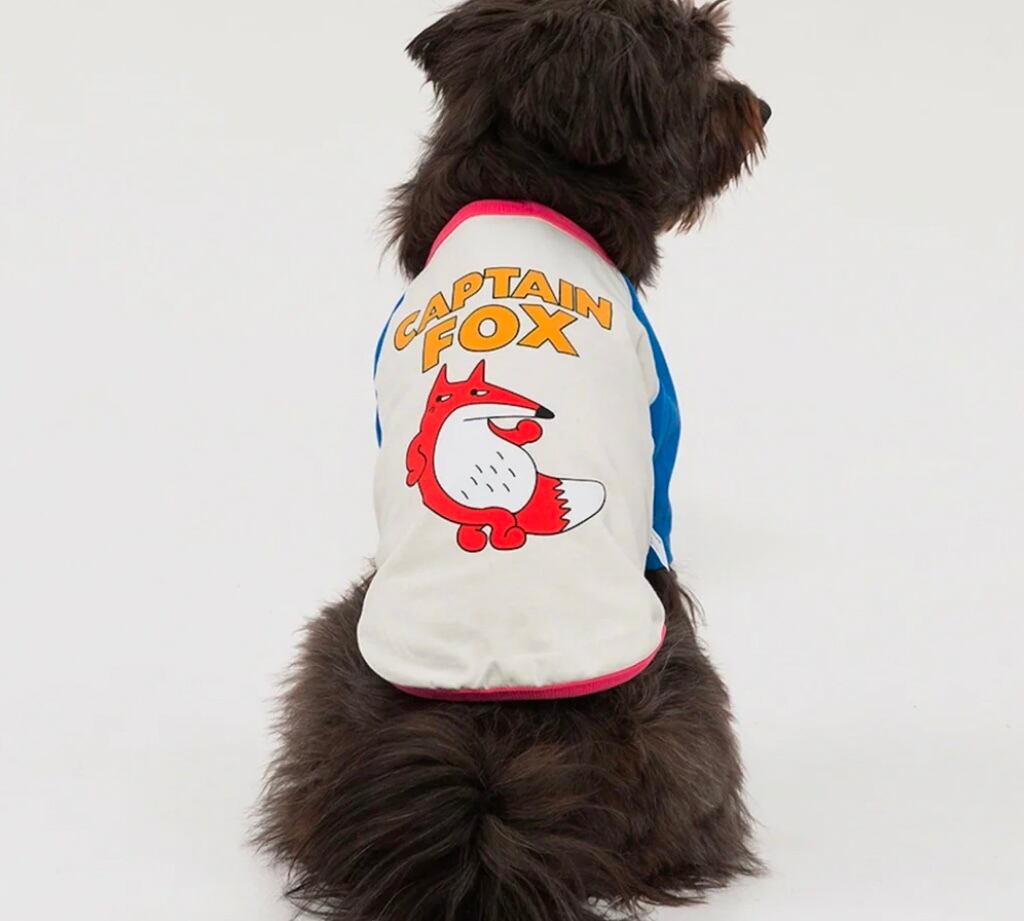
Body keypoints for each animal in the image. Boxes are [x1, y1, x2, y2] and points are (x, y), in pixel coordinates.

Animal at [257, 2, 769, 919]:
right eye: (703, 56)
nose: (761, 109)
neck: (528, 180)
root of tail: (491, 744)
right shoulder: (662, 438)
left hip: (338, 660)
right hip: (677, 682)